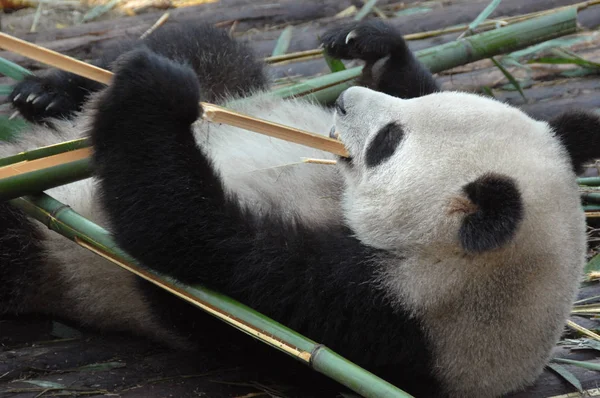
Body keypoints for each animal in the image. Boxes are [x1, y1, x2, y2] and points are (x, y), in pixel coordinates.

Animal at [1, 18, 600, 398]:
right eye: (417, 108)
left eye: (388, 141)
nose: (344, 101)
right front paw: (371, 43)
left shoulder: (375, 317)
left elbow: (192, 245)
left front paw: (153, 94)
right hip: (235, 80)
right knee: (203, 47)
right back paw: (47, 90)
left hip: (48, 257)